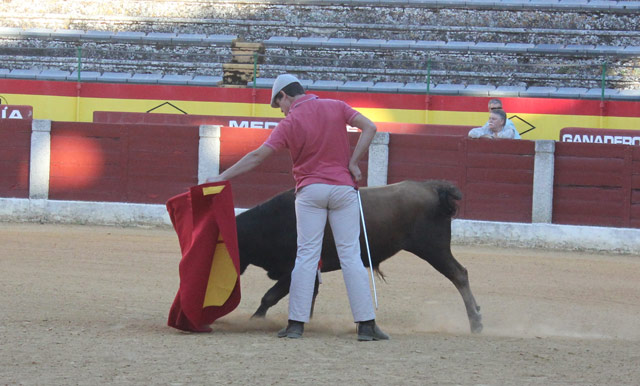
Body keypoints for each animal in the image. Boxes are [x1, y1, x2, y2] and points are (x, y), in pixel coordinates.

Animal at [238, 179, 482, 334]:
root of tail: (432, 187)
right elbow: (307, 296)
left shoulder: (294, 269)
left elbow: (270, 296)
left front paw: (254, 321)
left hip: (433, 248)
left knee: (459, 275)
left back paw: (476, 323)